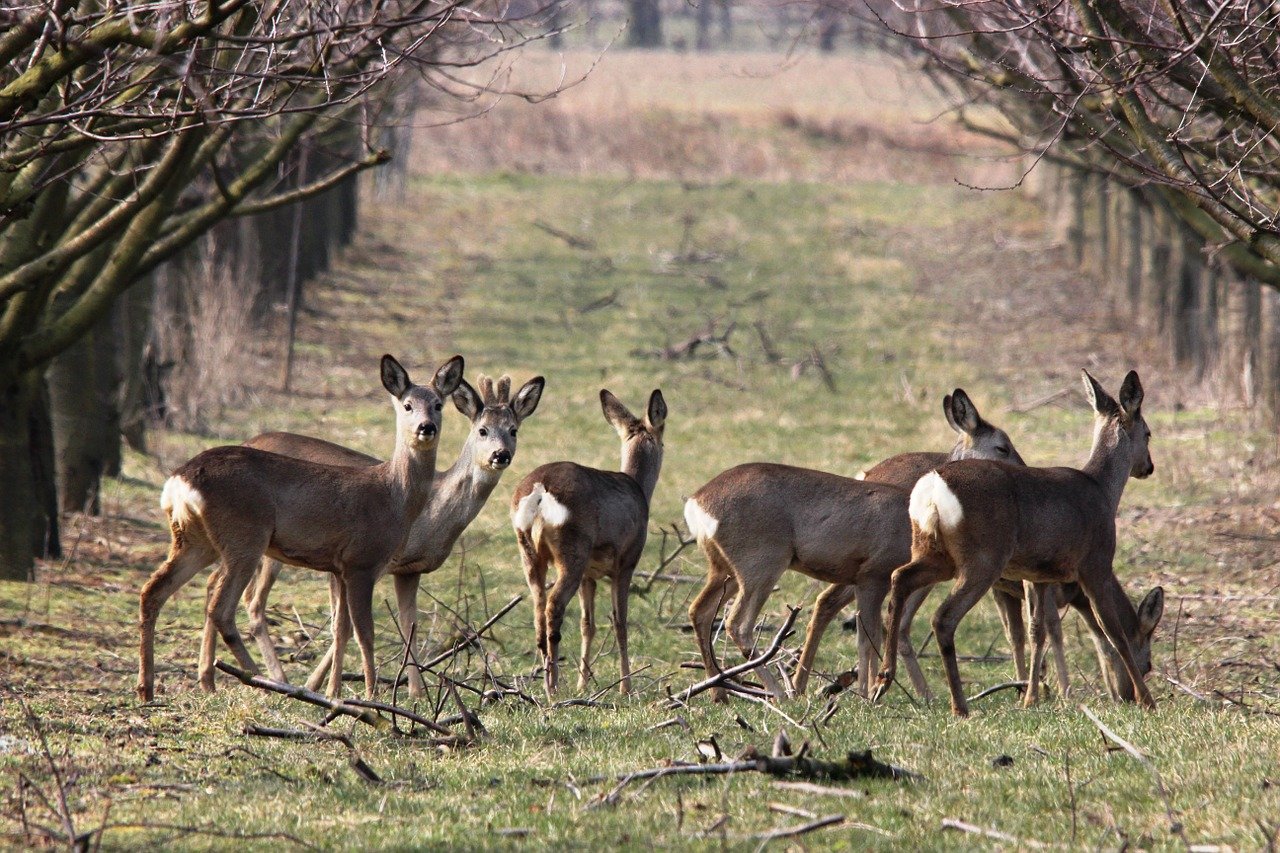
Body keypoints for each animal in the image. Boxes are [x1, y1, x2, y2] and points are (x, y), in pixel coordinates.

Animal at [137, 350, 465, 696]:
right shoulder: (361, 561)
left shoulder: (340, 567)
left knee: (153, 590)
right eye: (407, 405)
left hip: (195, 540)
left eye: (438, 404)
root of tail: (179, 480)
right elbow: (365, 632)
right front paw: (370, 694)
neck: (394, 496)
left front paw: (336, 693)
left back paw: (147, 688)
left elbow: (341, 627)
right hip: (245, 536)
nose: (426, 427)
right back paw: (266, 681)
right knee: (221, 608)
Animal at [240, 371, 545, 691]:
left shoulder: (409, 569)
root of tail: (248, 439)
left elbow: (408, 625)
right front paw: (317, 685)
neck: (430, 514)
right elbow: (343, 628)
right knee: (254, 602)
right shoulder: (358, 562)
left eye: (513, 430)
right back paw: (277, 676)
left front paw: (416, 692)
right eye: (483, 431)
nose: (501, 455)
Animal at [509, 389, 670, 696]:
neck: (639, 489)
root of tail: (540, 491)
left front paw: (583, 684)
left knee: (538, 608)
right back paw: (553, 687)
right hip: (572, 549)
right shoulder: (627, 561)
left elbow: (588, 624)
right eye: (663, 440)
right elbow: (620, 622)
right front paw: (626, 686)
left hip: (529, 552)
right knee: (554, 606)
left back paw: (547, 682)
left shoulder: (589, 575)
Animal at [686, 384, 1024, 696]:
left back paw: (721, 691)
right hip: (761, 563)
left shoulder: (866, 578)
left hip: (724, 568)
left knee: (700, 611)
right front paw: (867, 694)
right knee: (738, 624)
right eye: (1002, 447)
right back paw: (780, 693)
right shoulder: (874, 573)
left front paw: (866, 692)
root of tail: (696, 502)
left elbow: (866, 636)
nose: (1024, 474)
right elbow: (870, 636)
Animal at [875, 368, 1167, 712]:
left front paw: (1031, 697)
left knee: (900, 578)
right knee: (943, 618)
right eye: (1148, 432)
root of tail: (932, 488)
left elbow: (1036, 630)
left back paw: (883, 680)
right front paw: (1148, 701)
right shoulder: (1096, 564)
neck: (1103, 491)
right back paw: (959, 706)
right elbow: (1114, 633)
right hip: (983, 558)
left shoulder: (1038, 574)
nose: (1149, 466)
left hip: (932, 552)